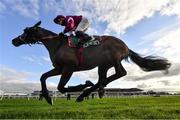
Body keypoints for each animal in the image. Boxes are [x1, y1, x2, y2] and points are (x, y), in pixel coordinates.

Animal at [11, 21, 171, 104]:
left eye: (26, 30)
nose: (14, 40)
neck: (57, 44)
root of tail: (125, 46)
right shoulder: (59, 68)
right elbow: (43, 77)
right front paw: (47, 97)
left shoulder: (69, 67)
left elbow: (61, 87)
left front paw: (80, 86)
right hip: (103, 65)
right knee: (103, 78)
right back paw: (91, 91)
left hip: (113, 59)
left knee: (120, 73)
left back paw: (86, 91)